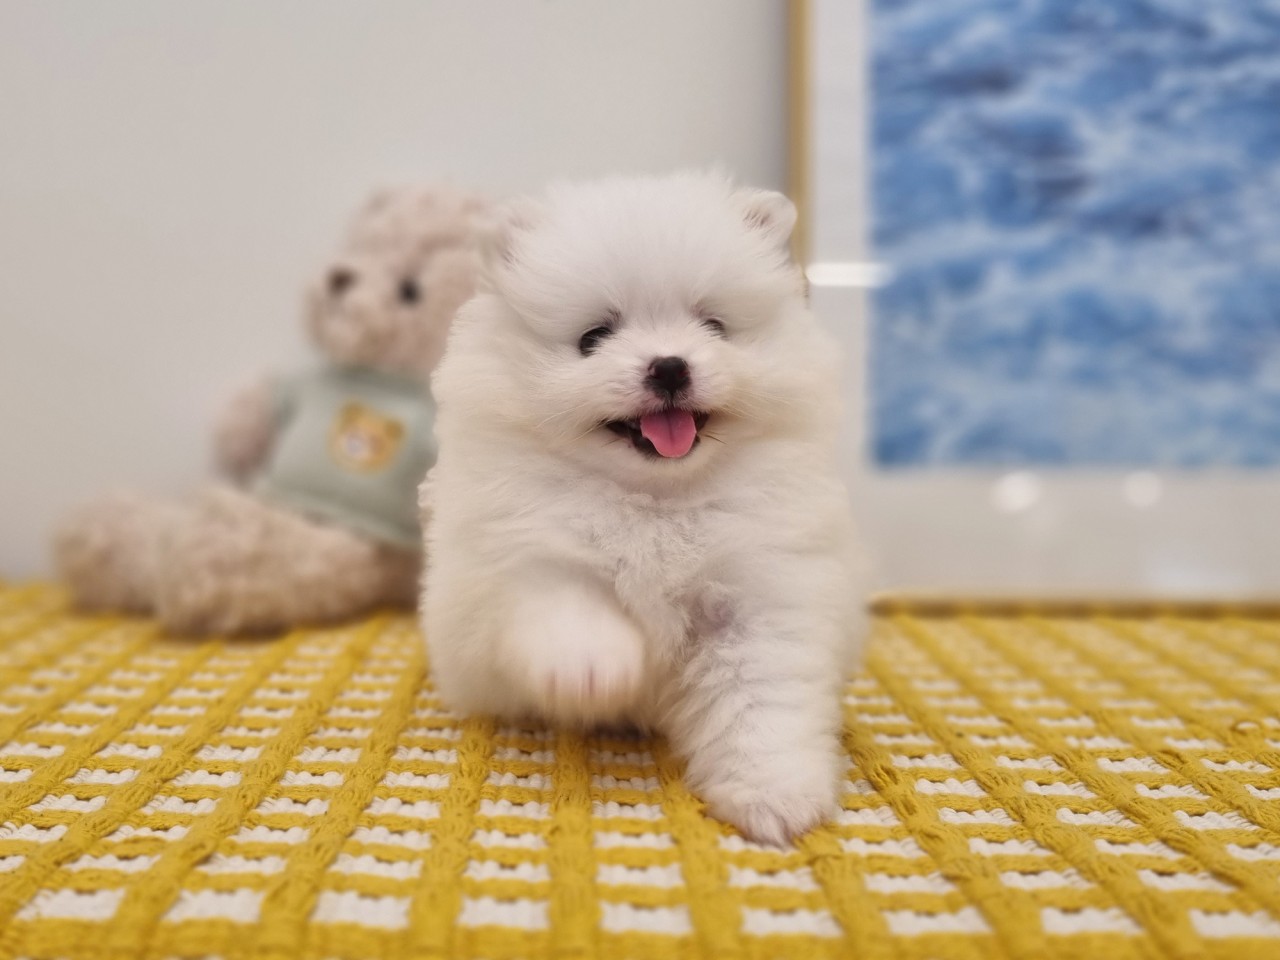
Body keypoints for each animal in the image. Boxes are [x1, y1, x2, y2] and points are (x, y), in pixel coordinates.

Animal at [421, 171, 861, 844]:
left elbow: (761, 698)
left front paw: (773, 795)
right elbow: (563, 598)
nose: (670, 366)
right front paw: (592, 667)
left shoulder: (760, 593)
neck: (655, 500)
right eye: (593, 338)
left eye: (714, 326)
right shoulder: (517, 552)